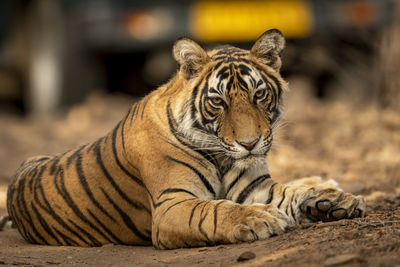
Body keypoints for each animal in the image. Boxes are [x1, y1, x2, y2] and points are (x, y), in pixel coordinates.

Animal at [5, 29, 366, 249]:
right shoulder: (172, 205)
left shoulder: (255, 186)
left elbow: (290, 191)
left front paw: (337, 201)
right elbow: (217, 210)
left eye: (259, 95)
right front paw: (260, 217)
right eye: (218, 101)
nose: (249, 144)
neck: (221, 157)